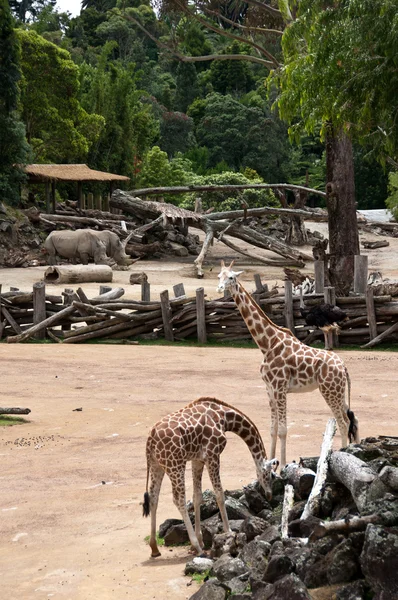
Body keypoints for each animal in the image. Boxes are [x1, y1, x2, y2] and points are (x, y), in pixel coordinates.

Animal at [142, 398, 276, 556]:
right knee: (179, 500)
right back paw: (198, 549)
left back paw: (154, 548)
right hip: (175, 464)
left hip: (157, 465)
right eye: (271, 475)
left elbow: (197, 497)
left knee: (153, 497)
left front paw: (200, 540)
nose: (269, 495)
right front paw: (228, 533)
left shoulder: (198, 459)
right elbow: (219, 494)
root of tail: (151, 438)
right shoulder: (213, 455)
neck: (224, 417)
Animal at [216, 260, 360, 466]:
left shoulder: (280, 387)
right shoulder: (269, 389)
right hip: (338, 391)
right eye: (219, 275)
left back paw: (343, 453)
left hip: (329, 390)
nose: (220, 288)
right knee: (352, 418)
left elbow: (283, 430)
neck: (267, 344)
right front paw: (271, 463)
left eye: (231, 277)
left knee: (343, 421)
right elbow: (273, 429)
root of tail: (344, 367)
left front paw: (283, 465)